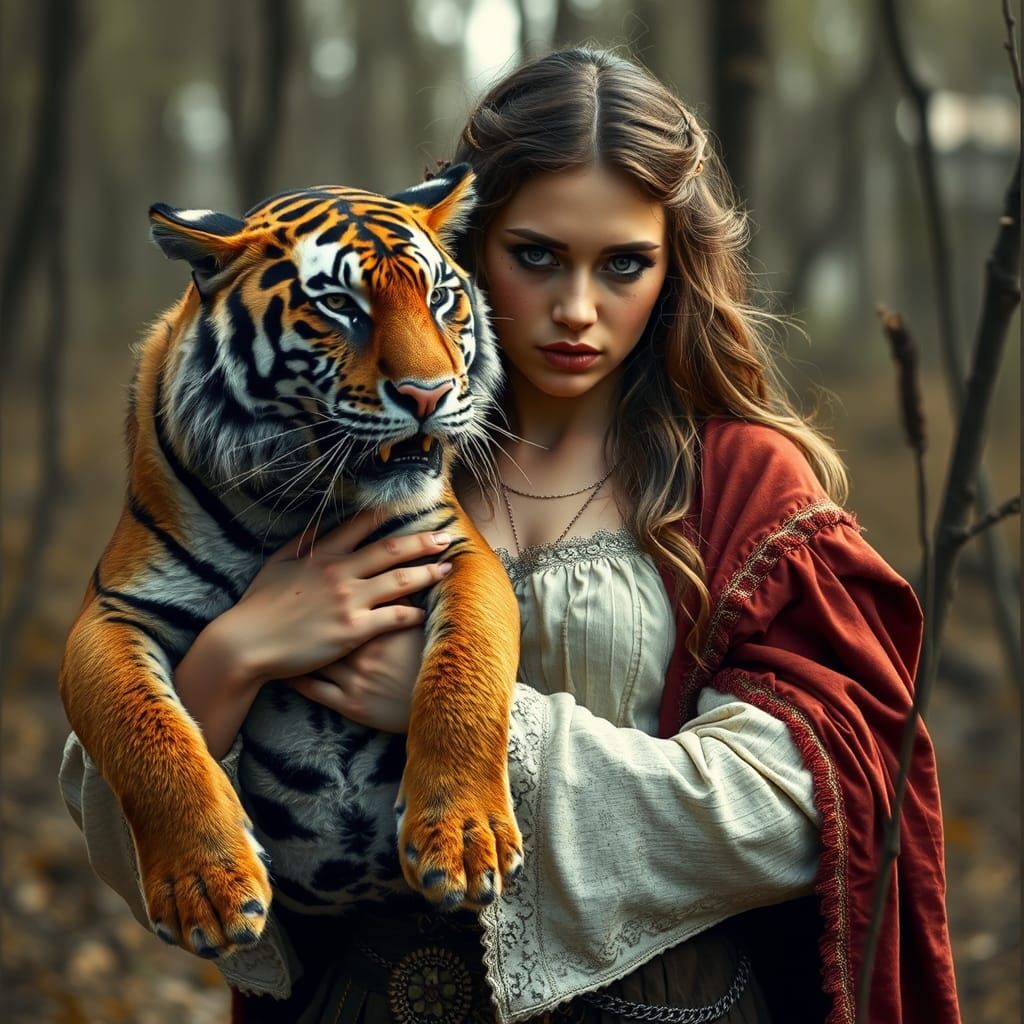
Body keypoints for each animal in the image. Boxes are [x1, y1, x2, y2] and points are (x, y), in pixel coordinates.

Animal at [59, 164, 523, 959]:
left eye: (439, 297)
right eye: (339, 306)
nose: (429, 394)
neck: (297, 504)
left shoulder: (454, 547)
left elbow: (469, 671)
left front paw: (466, 841)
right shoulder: (112, 610)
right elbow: (144, 733)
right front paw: (207, 890)